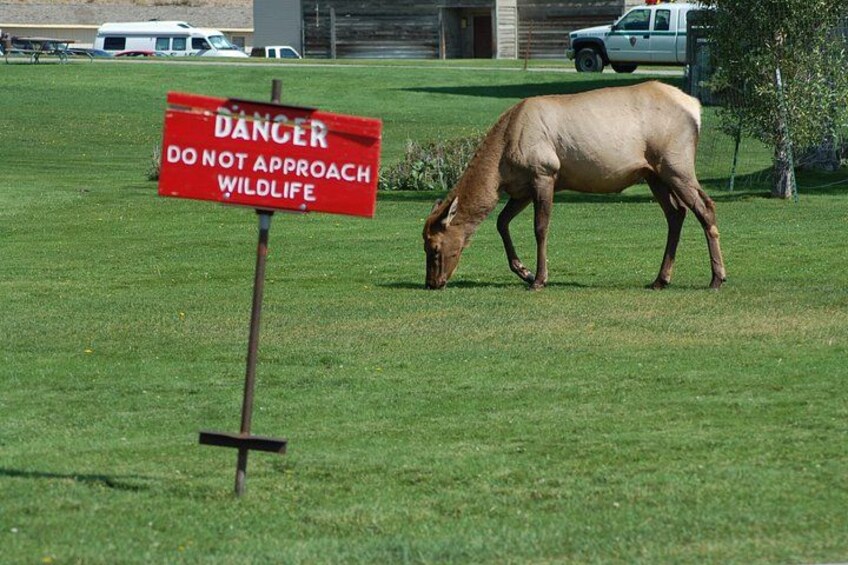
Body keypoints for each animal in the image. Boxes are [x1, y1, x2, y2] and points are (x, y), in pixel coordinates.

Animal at [423, 81, 726, 291]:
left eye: (434, 247)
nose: (432, 283)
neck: (500, 167)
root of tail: (696, 108)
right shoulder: (521, 189)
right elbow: (501, 222)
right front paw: (524, 271)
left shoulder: (544, 172)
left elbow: (540, 228)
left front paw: (539, 279)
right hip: (654, 174)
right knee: (676, 214)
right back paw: (661, 279)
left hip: (676, 164)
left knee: (705, 207)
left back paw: (716, 278)